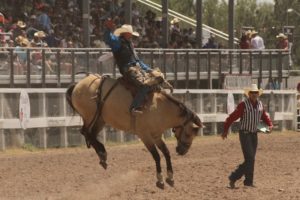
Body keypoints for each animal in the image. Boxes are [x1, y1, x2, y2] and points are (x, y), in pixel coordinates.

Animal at [66, 72, 204, 188]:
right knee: (85, 132)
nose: (182, 151)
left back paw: (102, 156)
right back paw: (102, 153)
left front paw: (170, 177)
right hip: (90, 116)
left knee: (91, 134)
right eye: (188, 133)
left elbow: (166, 153)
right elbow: (156, 155)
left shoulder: (157, 135)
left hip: (100, 119)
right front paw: (159, 180)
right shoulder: (144, 135)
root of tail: (78, 84)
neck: (159, 107)